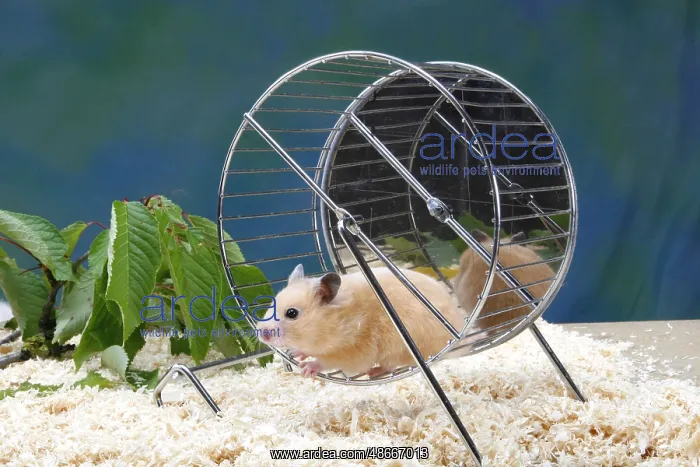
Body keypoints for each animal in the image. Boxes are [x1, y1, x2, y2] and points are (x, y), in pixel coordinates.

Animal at [255, 263, 466, 378]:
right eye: (271, 304)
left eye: (292, 313)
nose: (261, 334)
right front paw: (298, 354)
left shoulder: (355, 350)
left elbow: (328, 361)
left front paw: (307, 368)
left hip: (402, 347)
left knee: (392, 365)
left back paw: (374, 372)